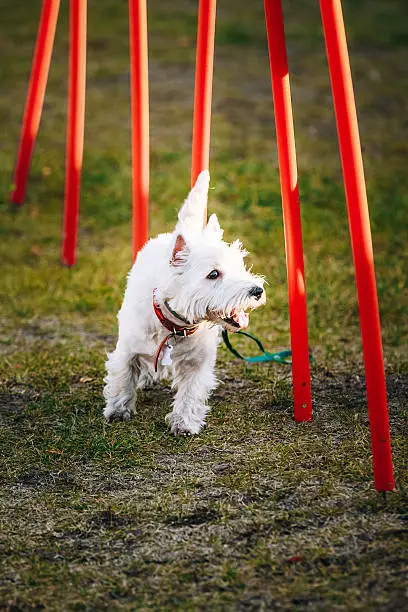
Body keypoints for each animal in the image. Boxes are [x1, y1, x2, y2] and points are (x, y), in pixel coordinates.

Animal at [103, 170, 266, 432]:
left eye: (240, 266)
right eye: (213, 274)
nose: (257, 290)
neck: (174, 327)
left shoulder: (197, 363)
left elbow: (190, 392)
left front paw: (184, 423)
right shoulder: (127, 349)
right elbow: (123, 378)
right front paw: (118, 410)